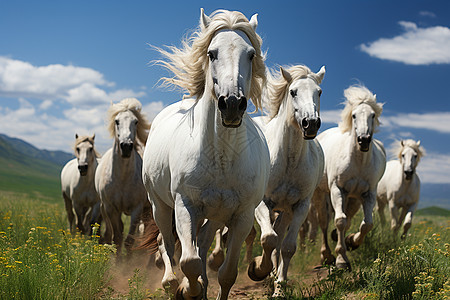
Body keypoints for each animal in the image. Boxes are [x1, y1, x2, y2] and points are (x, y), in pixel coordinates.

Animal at [95, 99, 158, 258]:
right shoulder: (111, 208)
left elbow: (130, 241)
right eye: (117, 121)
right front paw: (117, 262)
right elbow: (117, 238)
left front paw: (127, 264)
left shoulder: (136, 209)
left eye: (135, 121)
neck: (123, 178)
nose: (126, 146)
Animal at [142, 9, 268, 300]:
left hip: (213, 216)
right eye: (212, 53)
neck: (221, 155)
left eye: (251, 54)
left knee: (200, 244)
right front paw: (188, 289)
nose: (232, 104)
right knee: (166, 244)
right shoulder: (185, 205)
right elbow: (188, 261)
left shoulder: (242, 216)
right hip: (160, 206)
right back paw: (171, 283)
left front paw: (201, 286)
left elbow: (226, 272)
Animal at [246, 65, 324, 296]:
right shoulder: (262, 203)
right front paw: (257, 269)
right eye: (293, 92)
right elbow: (268, 238)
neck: (289, 159)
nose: (311, 124)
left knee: (279, 239)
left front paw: (279, 288)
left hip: (286, 211)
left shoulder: (300, 207)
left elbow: (287, 247)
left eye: (319, 92)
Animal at [312, 84, 384, 270]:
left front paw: (352, 242)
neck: (358, 162)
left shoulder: (368, 193)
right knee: (324, 221)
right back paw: (326, 255)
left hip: (353, 198)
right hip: (321, 193)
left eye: (373, 115)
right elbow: (340, 221)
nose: (364, 140)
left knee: (349, 218)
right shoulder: (337, 189)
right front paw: (341, 259)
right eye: (354, 115)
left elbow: (367, 224)